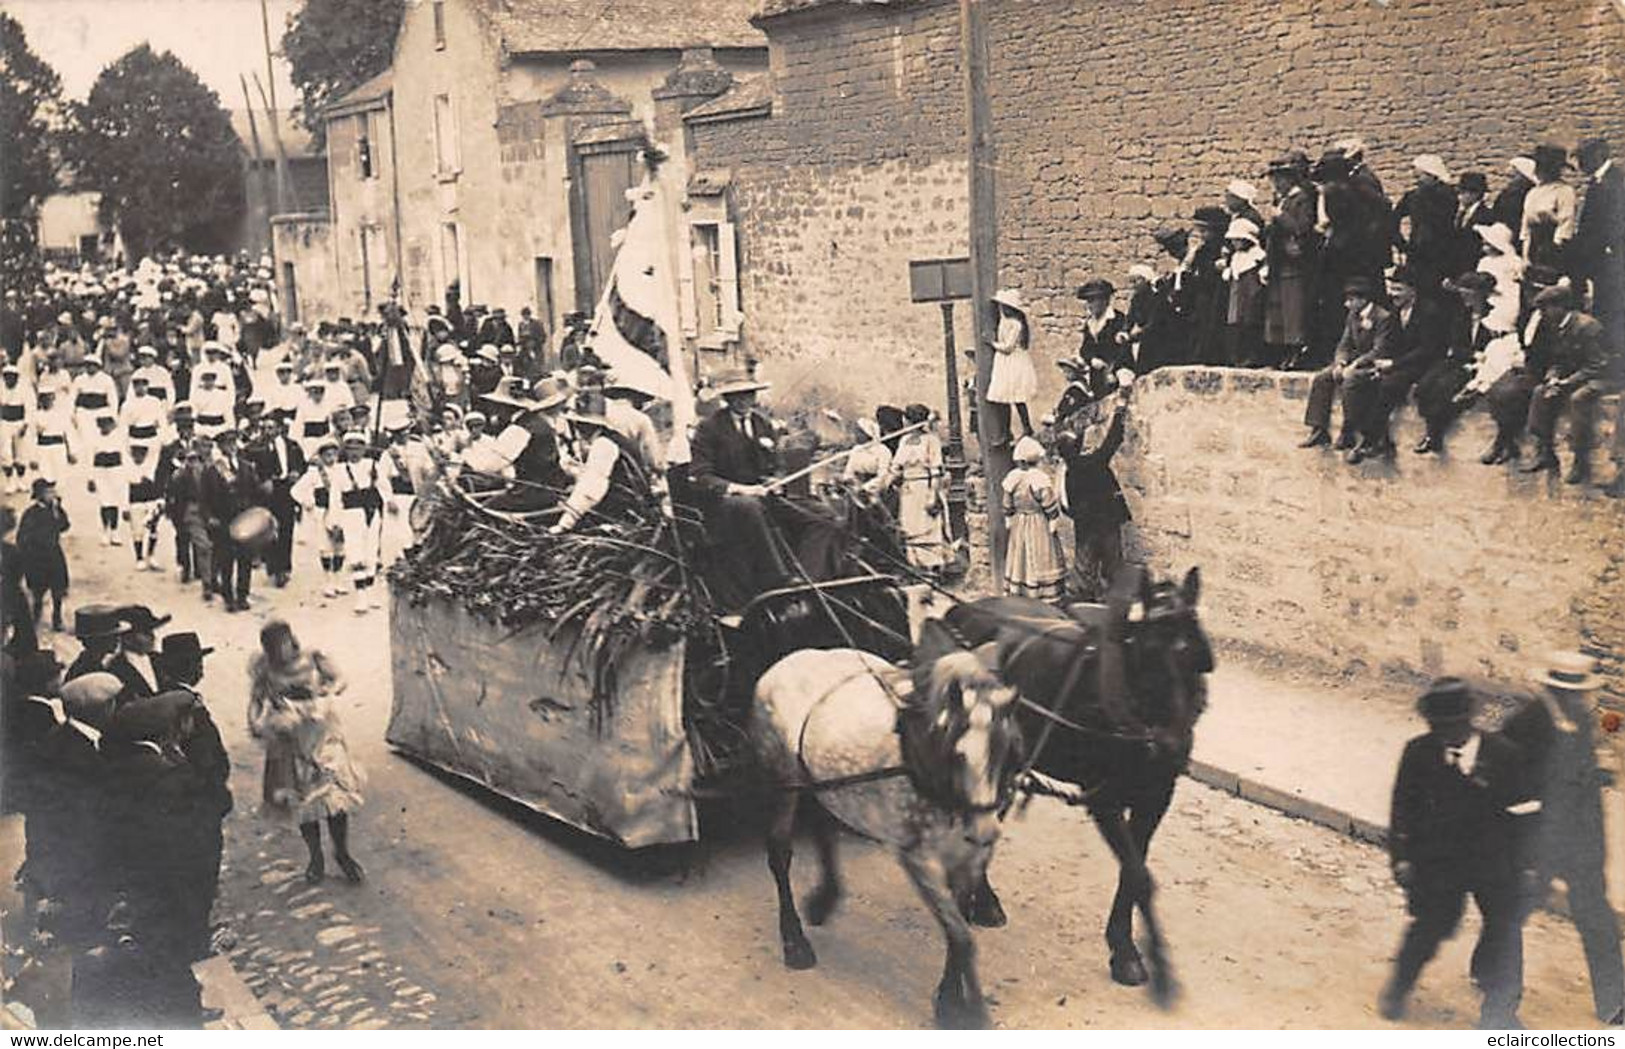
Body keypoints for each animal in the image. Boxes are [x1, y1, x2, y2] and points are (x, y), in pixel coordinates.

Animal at [949, 571, 1215, 1006]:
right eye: (1148, 654)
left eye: (1195, 654)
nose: (1171, 746)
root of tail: (965, 609)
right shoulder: (1102, 798)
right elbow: (1138, 873)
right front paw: (1149, 961)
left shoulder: (1156, 797)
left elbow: (1133, 871)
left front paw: (1125, 949)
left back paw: (983, 901)